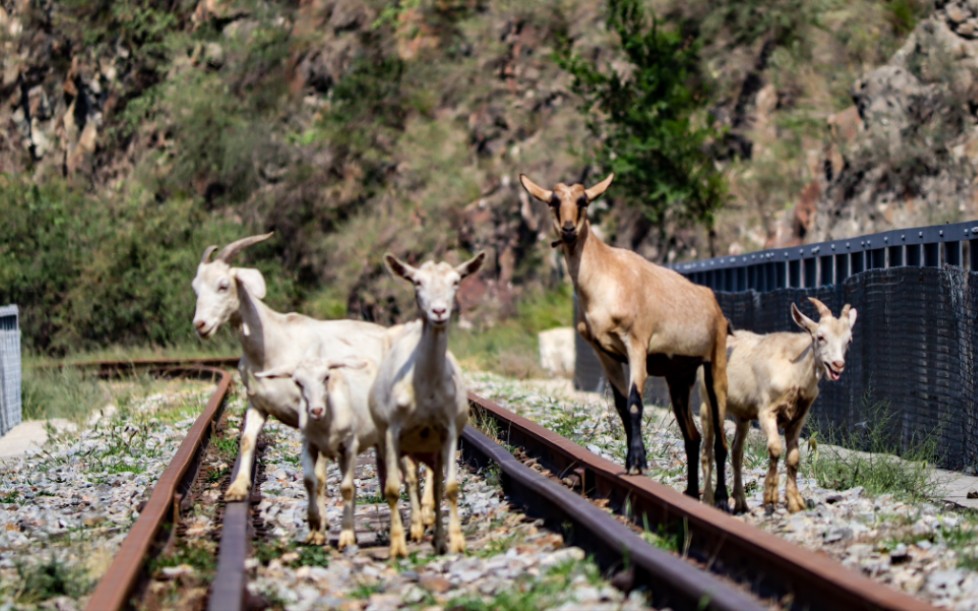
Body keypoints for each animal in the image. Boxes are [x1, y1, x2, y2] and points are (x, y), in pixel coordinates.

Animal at [189, 234, 390, 502]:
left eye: (223, 285)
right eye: (196, 289)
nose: (200, 325)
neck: (272, 346)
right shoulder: (257, 403)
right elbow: (247, 439)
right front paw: (237, 488)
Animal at [255, 356, 378, 548]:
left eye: (326, 377)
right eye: (298, 382)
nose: (316, 410)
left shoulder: (350, 445)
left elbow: (346, 488)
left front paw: (346, 536)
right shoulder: (309, 444)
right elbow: (309, 481)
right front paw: (314, 524)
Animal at [370, 251, 484, 556]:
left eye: (456, 281)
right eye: (416, 282)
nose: (439, 312)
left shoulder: (449, 430)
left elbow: (449, 487)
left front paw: (455, 541)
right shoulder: (392, 431)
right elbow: (394, 488)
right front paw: (398, 546)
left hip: (431, 446)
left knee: (433, 483)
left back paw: (436, 534)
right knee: (409, 479)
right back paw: (417, 527)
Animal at [524, 173, 728, 506]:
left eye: (583, 200)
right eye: (553, 201)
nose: (568, 229)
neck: (606, 278)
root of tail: (715, 306)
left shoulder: (637, 345)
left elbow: (634, 403)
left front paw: (638, 462)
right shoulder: (605, 352)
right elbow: (621, 405)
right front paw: (630, 460)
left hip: (715, 362)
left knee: (721, 432)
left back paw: (723, 499)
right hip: (678, 376)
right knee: (693, 435)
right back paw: (689, 492)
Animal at [700, 298, 856, 512]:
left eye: (848, 340)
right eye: (820, 337)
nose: (837, 365)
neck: (793, 371)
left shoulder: (798, 418)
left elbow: (794, 458)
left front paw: (795, 501)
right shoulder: (766, 411)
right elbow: (774, 448)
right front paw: (771, 497)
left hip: (742, 416)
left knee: (736, 451)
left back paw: (740, 502)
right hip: (709, 402)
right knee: (707, 448)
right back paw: (708, 499)